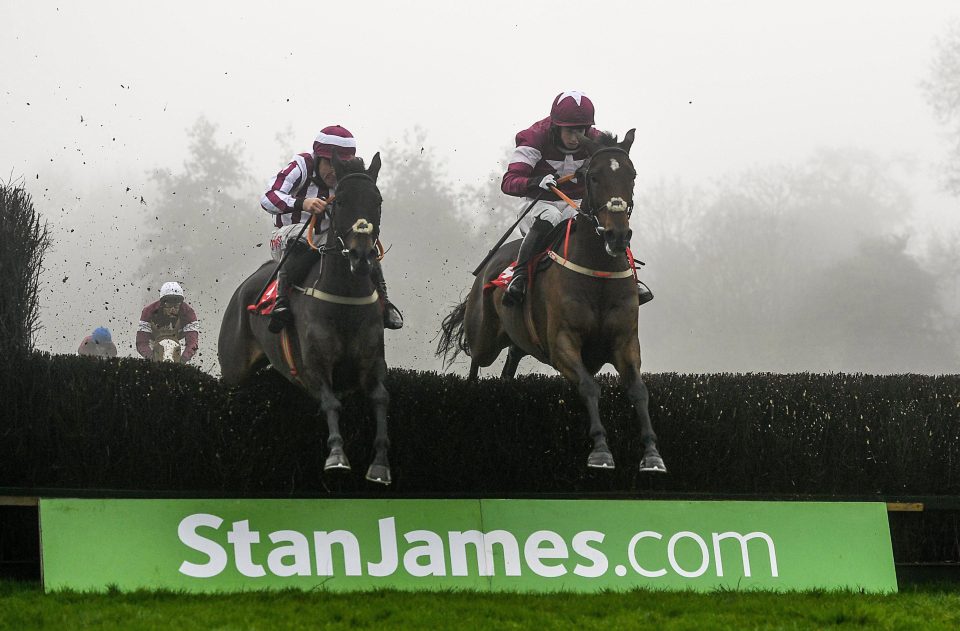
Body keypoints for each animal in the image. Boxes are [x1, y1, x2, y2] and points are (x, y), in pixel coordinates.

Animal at [219, 152, 392, 484]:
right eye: (340, 201)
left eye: (377, 201)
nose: (362, 257)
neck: (344, 301)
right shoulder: (314, 364)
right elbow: (330, 401)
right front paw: (336, 455)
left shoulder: (372, 362)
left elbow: (380, 398)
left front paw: (380, 464)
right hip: (233, 368)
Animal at [436, 130, 668, 474]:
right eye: (592, 176)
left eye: (632, 175)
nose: (617, 236)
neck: (597, 272)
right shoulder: (562, 343)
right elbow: (589, 386)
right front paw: (600, 451)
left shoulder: (625, 341)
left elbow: (639, 390)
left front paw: (652, 454)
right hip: (484, 338)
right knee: (475, 367)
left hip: (518, 340)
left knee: (509, 366)